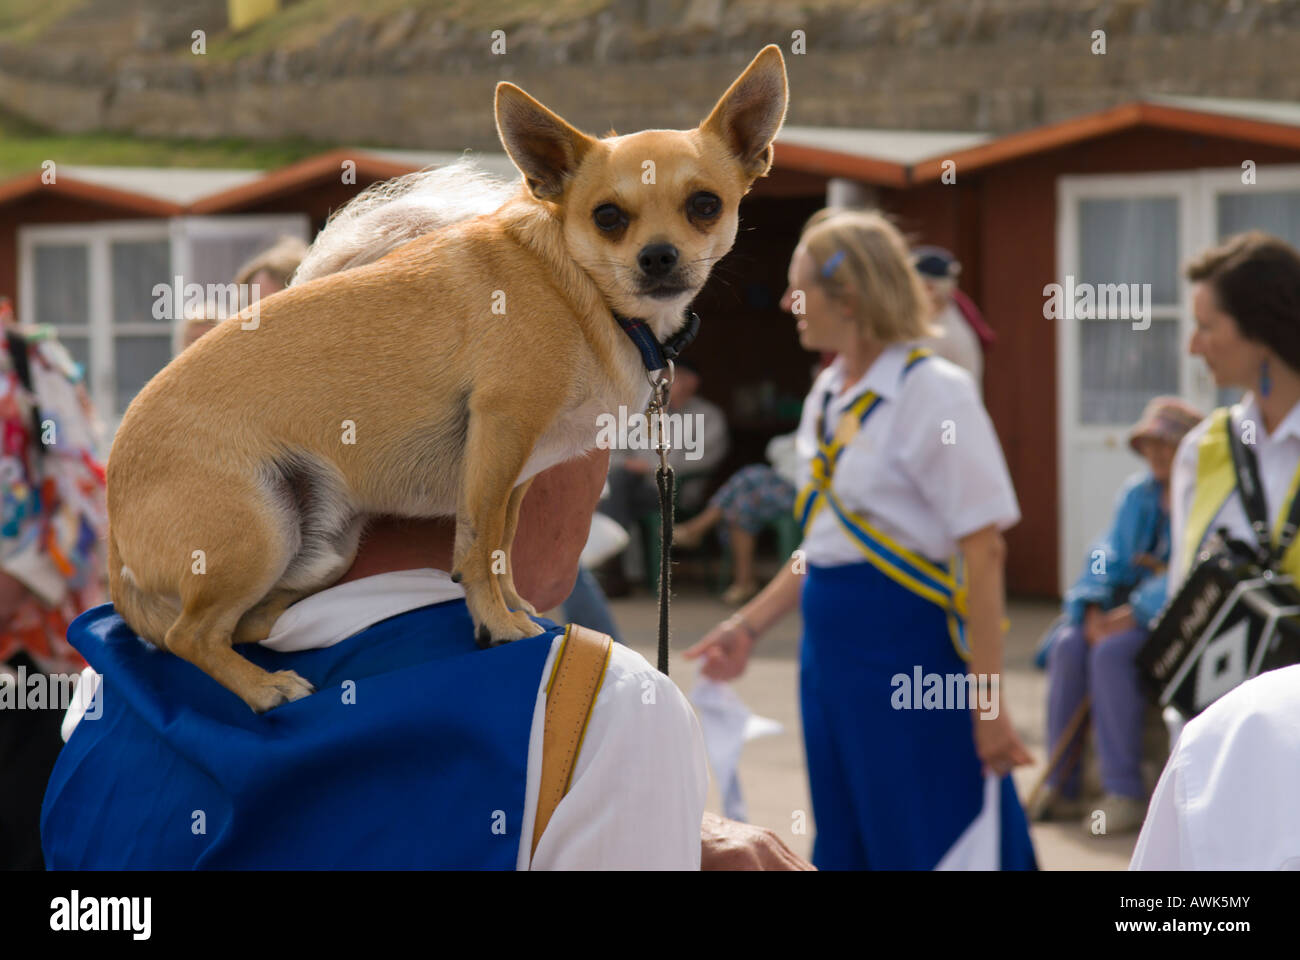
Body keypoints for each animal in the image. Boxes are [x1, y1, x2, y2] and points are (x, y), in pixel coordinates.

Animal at [106, 44, 785, 707]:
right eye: (608, 217)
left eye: (705, 206)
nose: (658, 256)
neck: (581, 289)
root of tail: (114, 523)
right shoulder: (501, 429)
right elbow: (477, 544)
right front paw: (498, 624)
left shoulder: (516, 467)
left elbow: (502, 544)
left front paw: (516, 609)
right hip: (261, 532)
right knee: (188, 634)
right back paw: (265, 688)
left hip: (321, 548)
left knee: (246, 624)